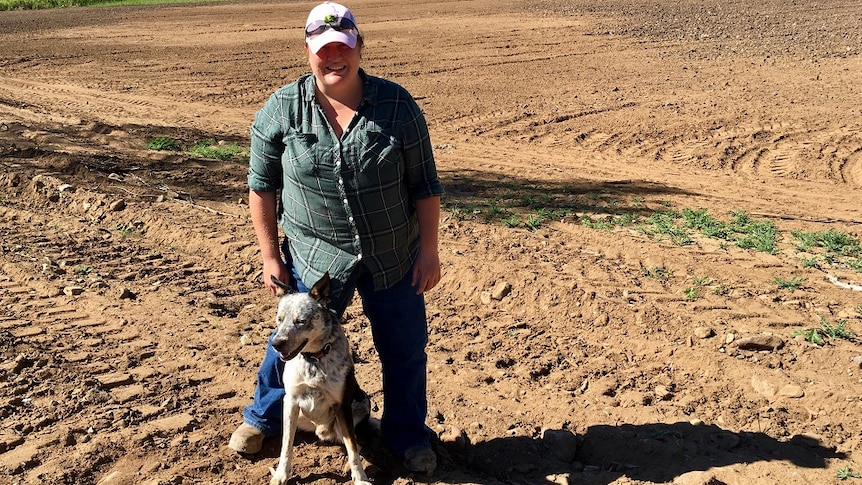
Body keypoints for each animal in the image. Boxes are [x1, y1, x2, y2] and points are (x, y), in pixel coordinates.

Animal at [270, 272, 372, 484]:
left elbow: (353, 448)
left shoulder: (342, 406)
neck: (314, 359)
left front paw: (360, 478)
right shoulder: (290, 402)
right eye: (279, 319)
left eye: (300, 321)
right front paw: (281, 474)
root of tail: (324, 431)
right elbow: (286, 444)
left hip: (357, 409)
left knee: (358, 443)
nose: (276, 344)